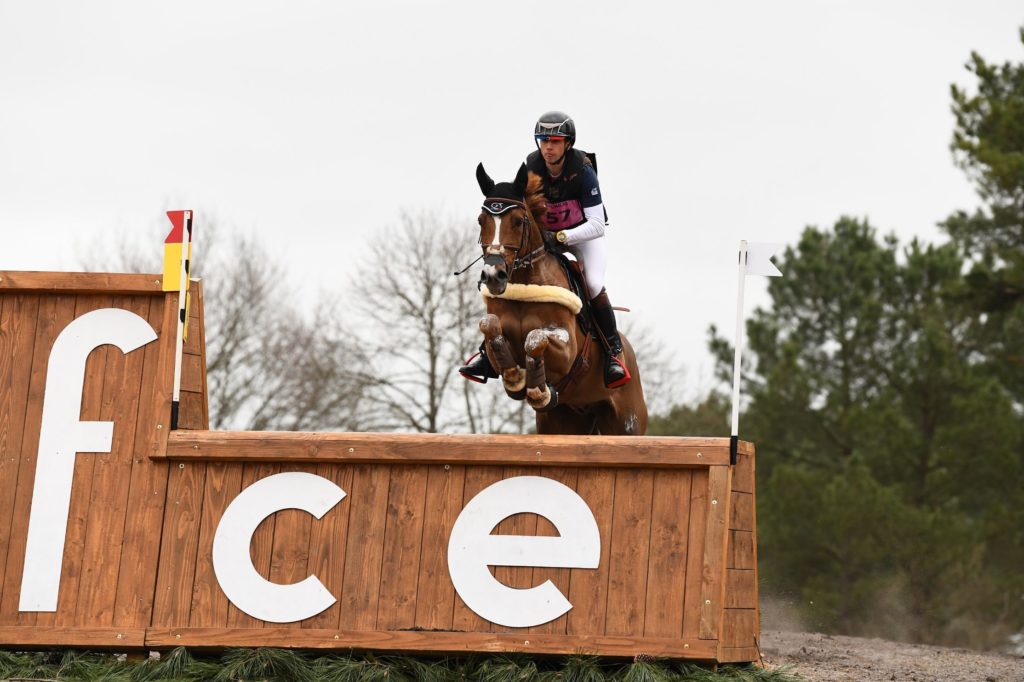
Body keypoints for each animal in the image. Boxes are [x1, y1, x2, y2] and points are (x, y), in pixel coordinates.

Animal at [471, 161, 647, 432]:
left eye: (518, 221)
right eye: (481, 221)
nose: (493, 275)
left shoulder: (566, 350)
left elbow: (535, 337)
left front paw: (536, 389)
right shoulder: (495, 330)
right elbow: (490, 325)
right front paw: (515, 379)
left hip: (627, 423)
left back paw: (615, 365)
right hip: (564, 420)